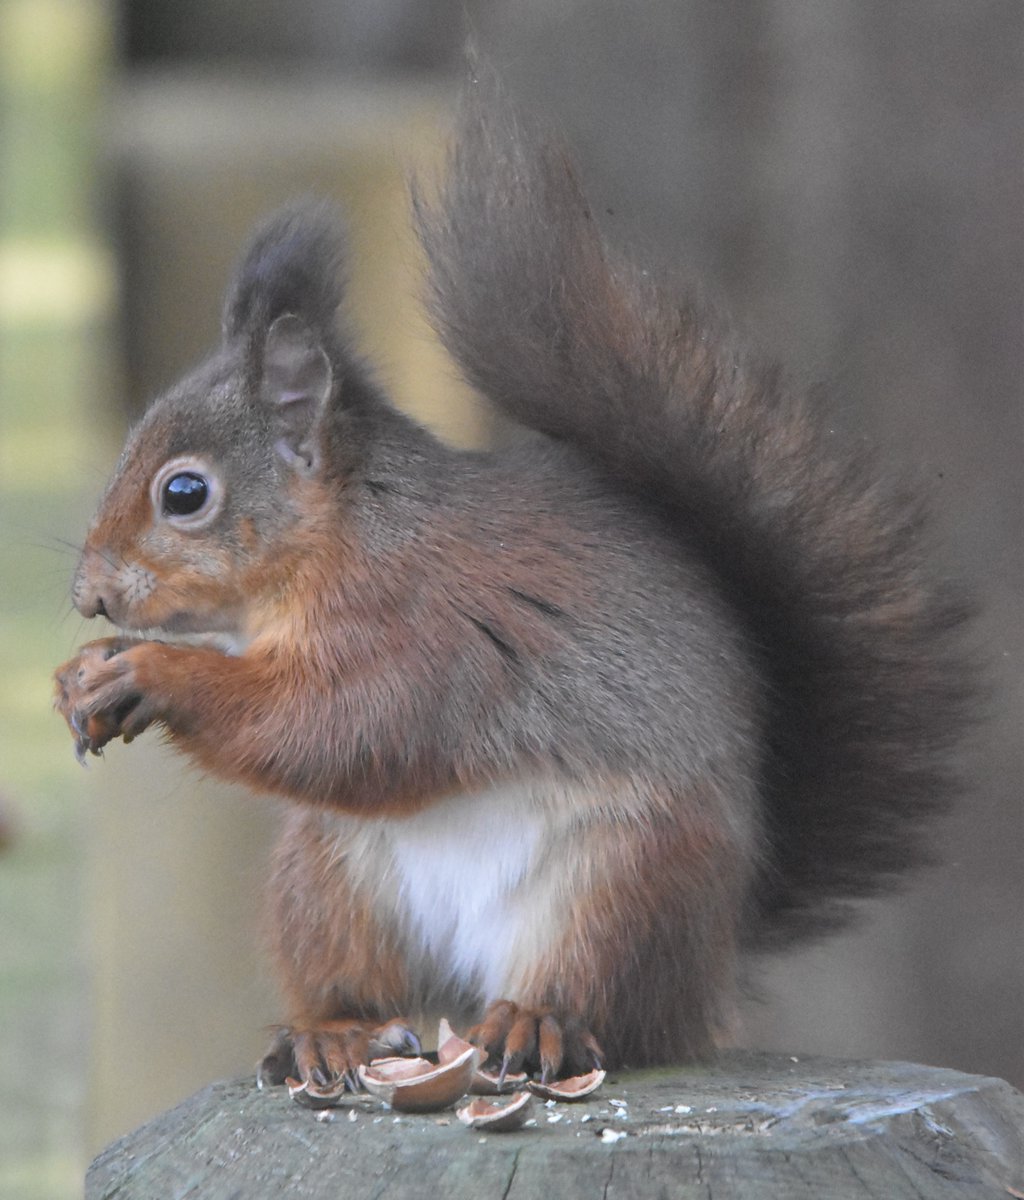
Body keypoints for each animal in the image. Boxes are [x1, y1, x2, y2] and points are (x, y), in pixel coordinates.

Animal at [51, 84, 969, 1089]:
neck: (344, 537)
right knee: (364, 988)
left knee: (603, 1002)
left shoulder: (428, 625)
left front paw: (151, 673)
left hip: (626, 881)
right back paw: (334, 1034)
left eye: (184, 494)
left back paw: (536, 1025)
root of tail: (715, 965)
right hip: (329, 874)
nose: (89, 596)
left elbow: (345, 726)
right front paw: (80, 677)